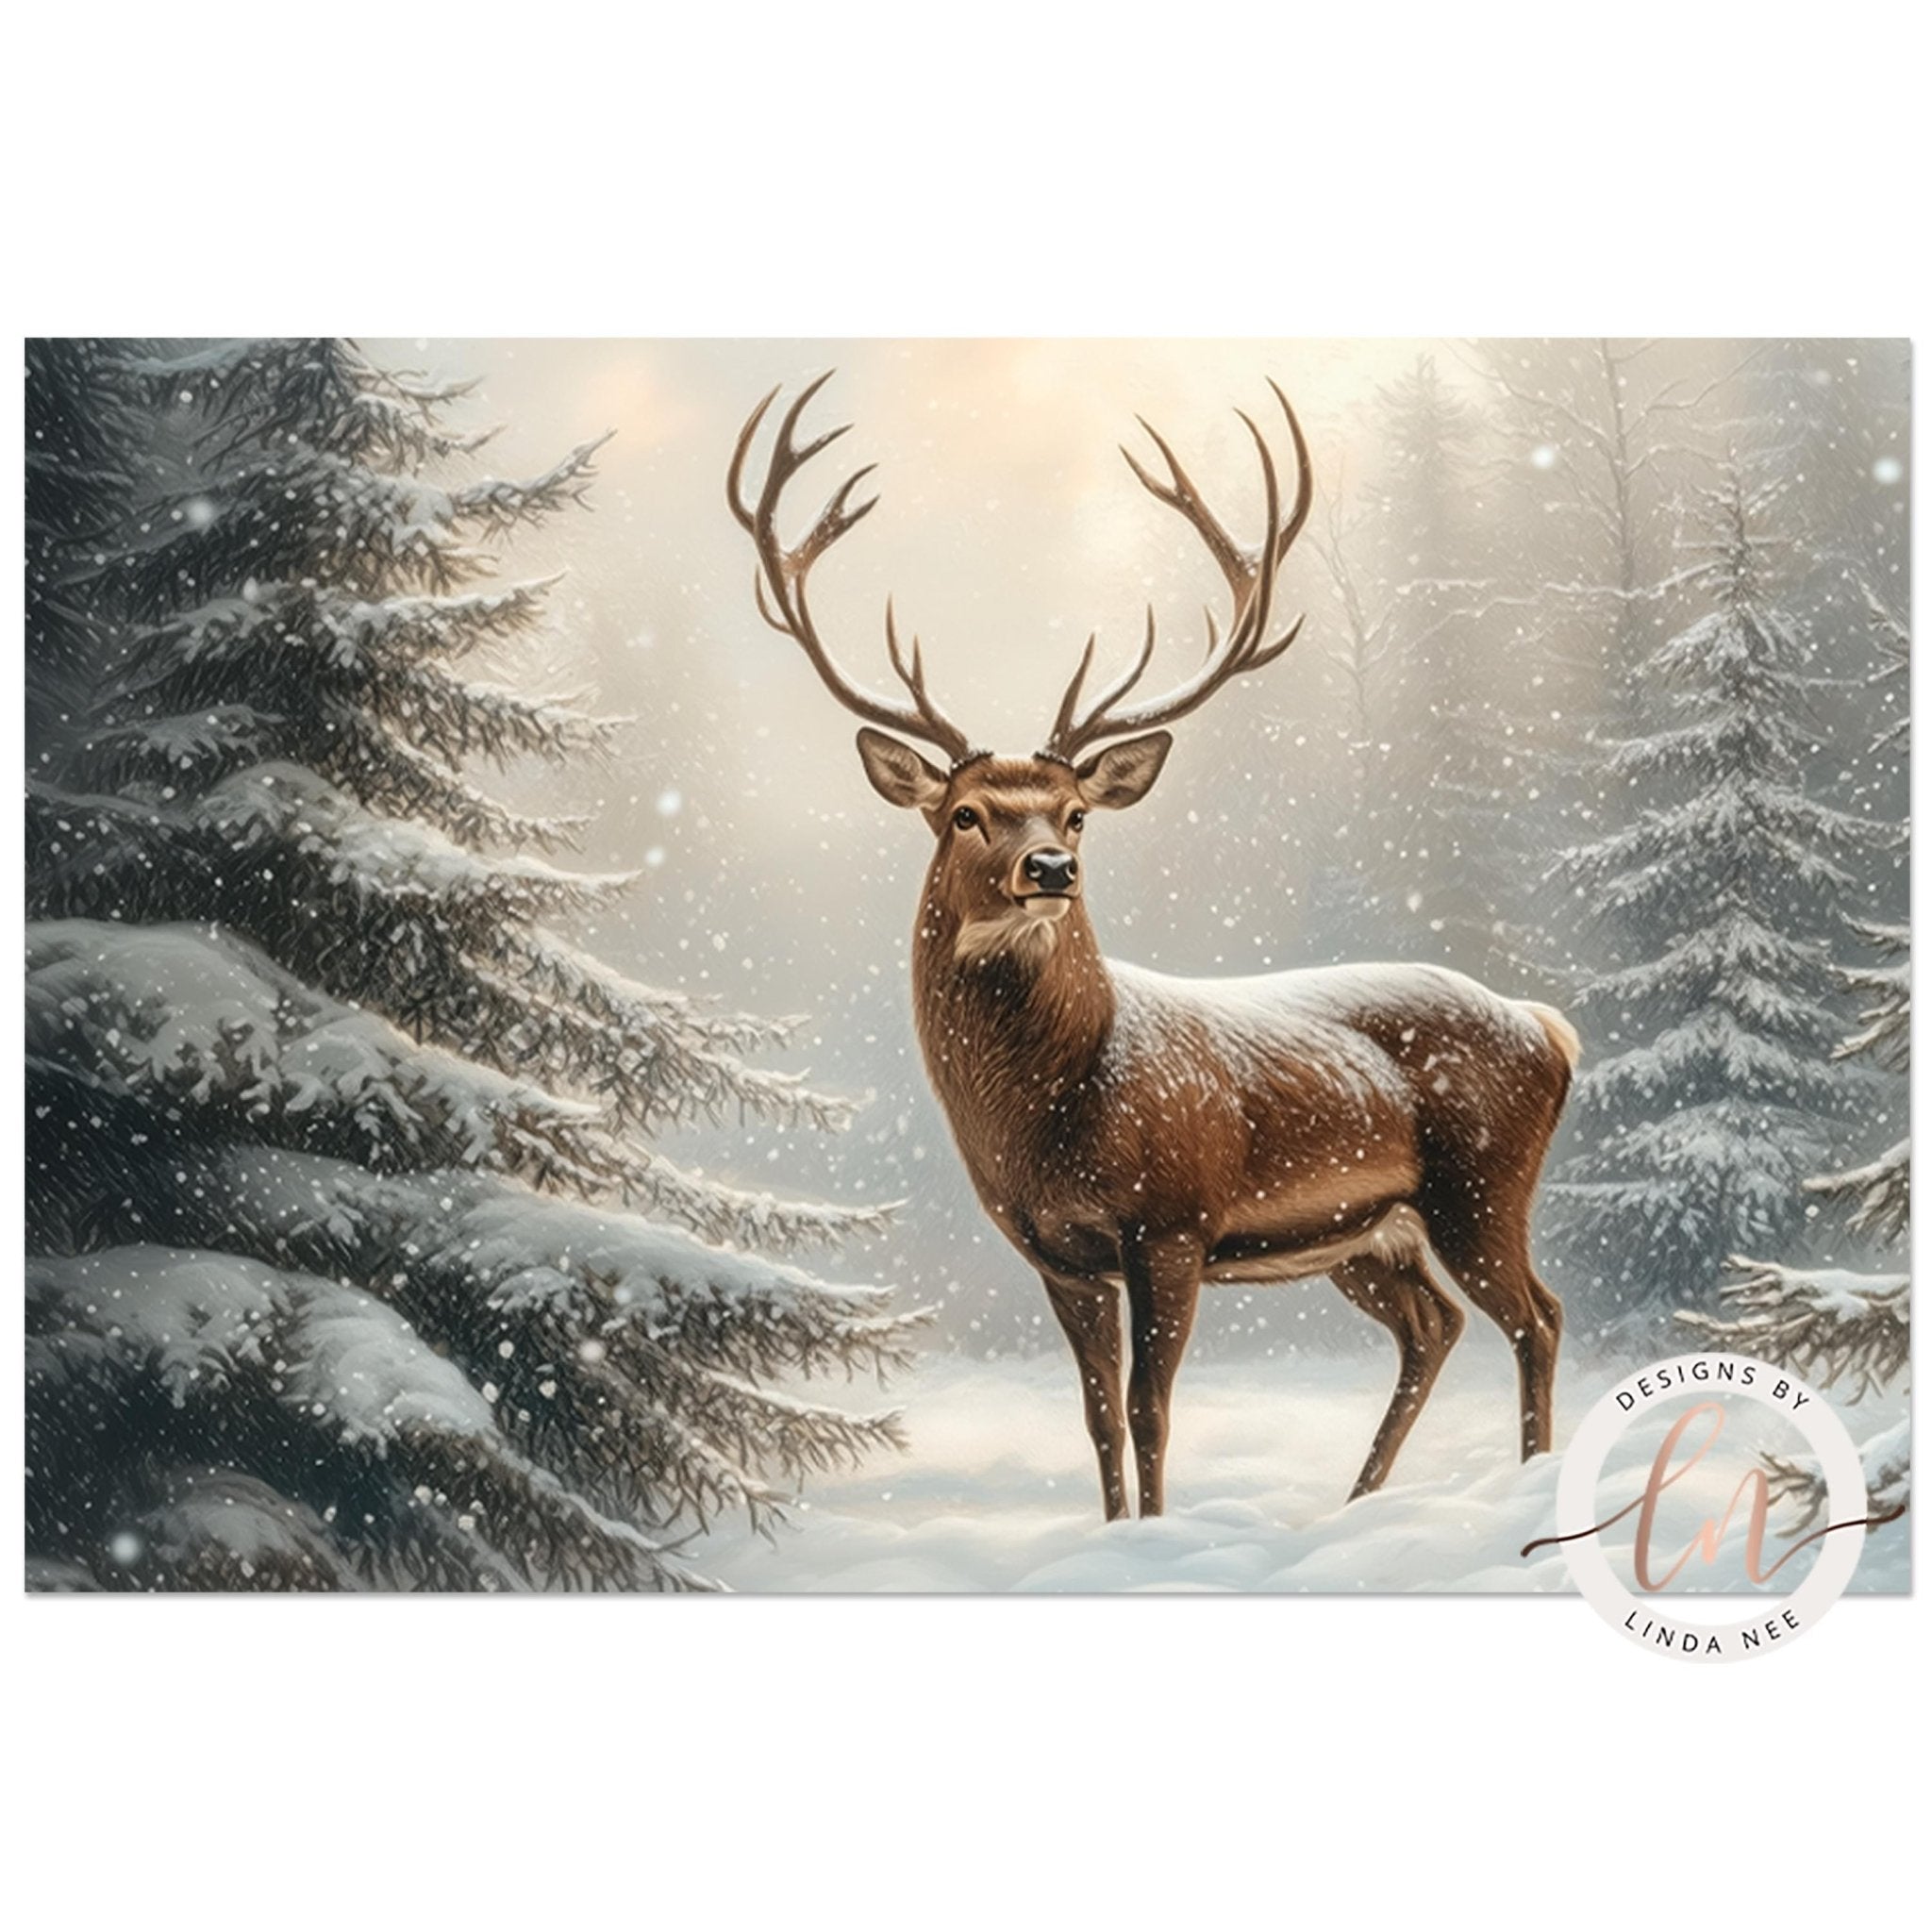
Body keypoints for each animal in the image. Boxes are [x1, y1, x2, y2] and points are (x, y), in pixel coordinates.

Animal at [728, 372, 1579, 1522]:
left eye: (1077, 812)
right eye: (964, 813)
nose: (1049, 868)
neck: (1045, 1107)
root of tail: (1547, 1027)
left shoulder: (1171, 1222)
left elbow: (1149, 1409)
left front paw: (1157, 1533)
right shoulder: (1054, 1251)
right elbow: (1094, 1417)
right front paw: (1112, 1530)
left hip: (1481, 1184)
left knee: (1537, 1313)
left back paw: (1530, 1486)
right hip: (1366, 1233)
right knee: (1433, 1325)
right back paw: (1358, 1500)